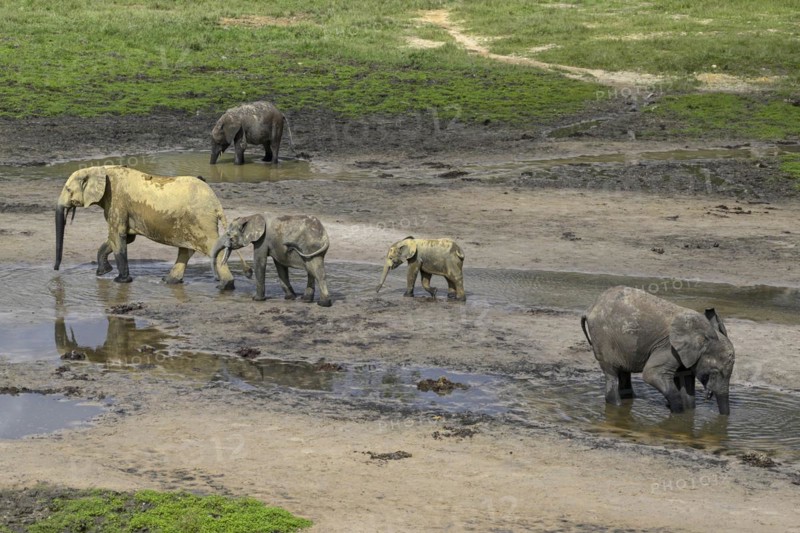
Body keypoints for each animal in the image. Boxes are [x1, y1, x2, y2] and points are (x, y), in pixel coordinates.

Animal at [54, 165, 247, 288]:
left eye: (69, 190)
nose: (56, 270)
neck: (98, 169)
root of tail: (216, 203)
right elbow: (122, 238)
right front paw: (102, 273)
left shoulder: (117, 201)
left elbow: (118, 237)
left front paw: (120, 281)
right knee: (186, 250)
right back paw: (168, 281)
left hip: (200, 220)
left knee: (211, 248)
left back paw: (225, 286)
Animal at [581, 286, 735, 415]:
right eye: (715, 372)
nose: (708, 396)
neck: (705, 334)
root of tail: (590, 308)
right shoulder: (669, 347)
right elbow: (652, 374)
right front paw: (678, 414)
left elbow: (686, 382)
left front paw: (687, 413)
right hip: (604, 339)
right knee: (611, 373)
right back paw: (617, 405)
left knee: (623, 372)